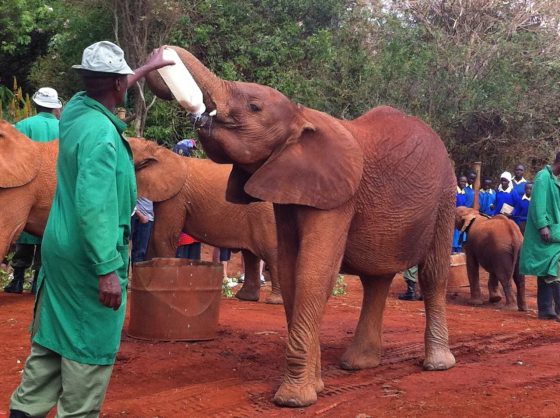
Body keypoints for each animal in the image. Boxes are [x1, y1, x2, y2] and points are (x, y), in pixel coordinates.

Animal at [129, 137, 282, 304]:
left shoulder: (176, 197)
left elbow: (162, 237)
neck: (159, 151)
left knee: (270, 253)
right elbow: (156, 237)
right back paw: (246, 297)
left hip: (265, 214)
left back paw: (274, 300)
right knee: (250, 255)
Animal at [147, 46, 458, 408]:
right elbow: (290, 268)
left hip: (445, 199)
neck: (301, 114)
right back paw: (358, 364)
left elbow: (313, 271)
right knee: (376, 279)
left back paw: (437, 364)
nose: (163, 57)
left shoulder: (337, 197)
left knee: (433, 274)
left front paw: (293, 399)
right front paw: (316, 386)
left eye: (254, 106)